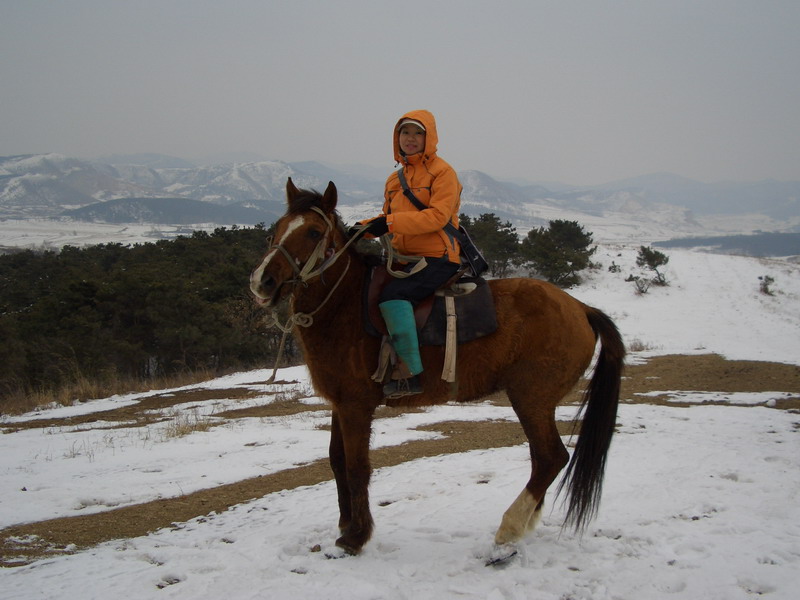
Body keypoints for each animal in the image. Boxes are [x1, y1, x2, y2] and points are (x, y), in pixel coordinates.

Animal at [250, 179, 624, 556]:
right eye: (278, 228)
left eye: (313, 232)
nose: (262, 281)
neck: (345, 306)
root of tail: (581, 308)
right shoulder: (340, 404)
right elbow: (336, 462)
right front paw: (346, 525)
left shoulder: (356, 406)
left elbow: (357, 467)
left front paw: (356, 536)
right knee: (541, 458)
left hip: (531, 398)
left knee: (550, 458)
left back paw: (509, 527)